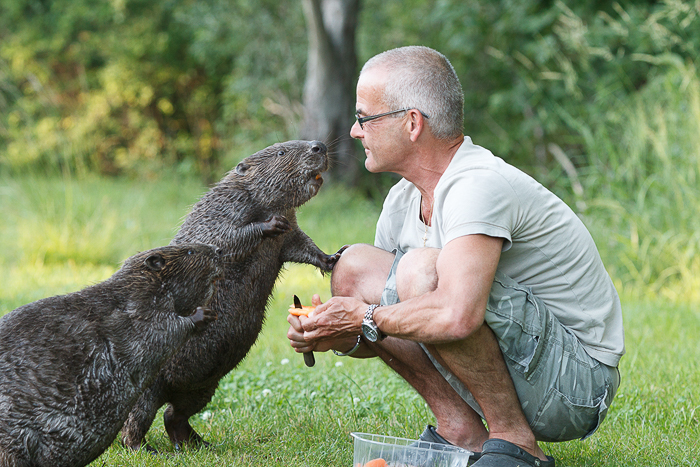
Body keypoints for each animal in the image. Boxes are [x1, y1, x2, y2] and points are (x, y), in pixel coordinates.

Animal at [0, 243, 224, 466]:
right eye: (190, 252)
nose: (218, 250)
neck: (137, 286)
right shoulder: (137, 311)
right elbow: (165, 329)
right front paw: (204, 314)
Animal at [122, 140, 342, 454]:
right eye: (281, 152)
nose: (319, 146)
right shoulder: (225, 206)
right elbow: (224, 240)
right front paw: (270, 225)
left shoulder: (290, 231)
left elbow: (302, 246)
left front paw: (332, 258)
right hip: (151, 382)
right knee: (139, 415)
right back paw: (142, 447)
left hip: (202, 387)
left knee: (174, 414)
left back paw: (198, 443)